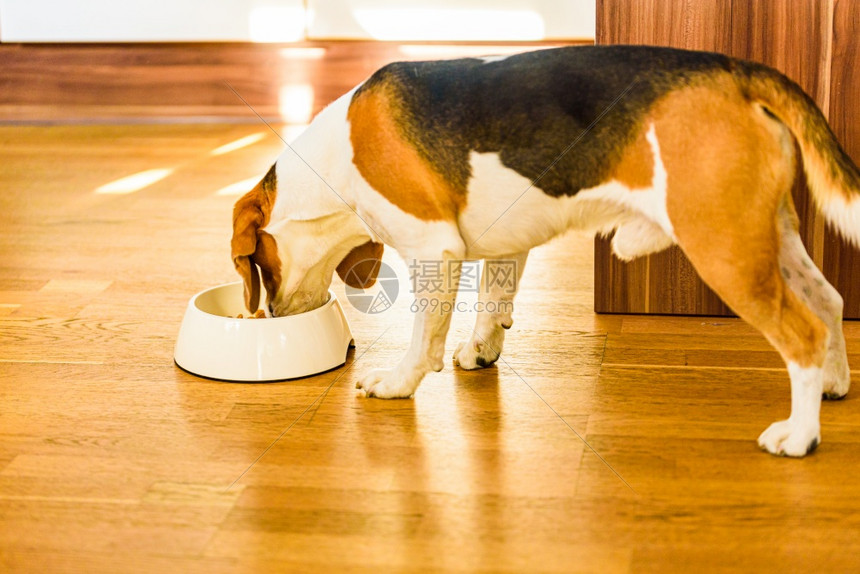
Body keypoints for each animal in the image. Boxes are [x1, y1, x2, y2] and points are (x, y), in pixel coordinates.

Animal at [233, 45, 860, 460]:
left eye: (259, 267)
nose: (270, 316)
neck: (331, 163)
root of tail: (737, 72)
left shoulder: (434, 245)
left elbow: (422, 335)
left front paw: (399, 381)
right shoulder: (507, 244)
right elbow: (492, 301)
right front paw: (481, 350)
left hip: (725, 248)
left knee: (803, 332)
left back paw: (799, 435)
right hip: (770, 235)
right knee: (829, 302)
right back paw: (833, 386)